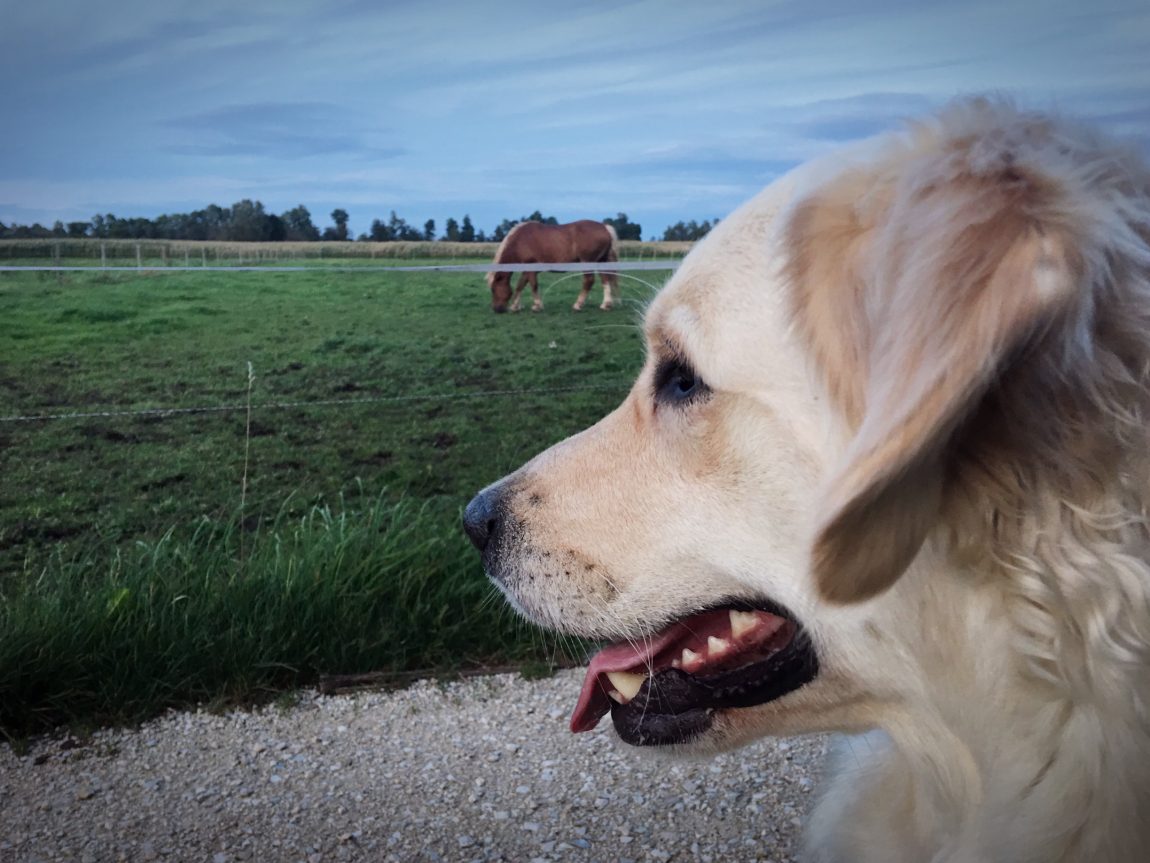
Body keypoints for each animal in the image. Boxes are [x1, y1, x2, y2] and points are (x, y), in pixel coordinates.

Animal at [485, 223, 621, 315]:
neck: (519, 241)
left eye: (493, 289)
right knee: (605, 280)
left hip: (587, 263)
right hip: (601, 262)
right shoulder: (527, 271)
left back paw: (578, 305)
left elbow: (533, 286)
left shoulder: (531, 269)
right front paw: (515, 306)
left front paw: (537, 306)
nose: (496, 309)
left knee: (589, 281)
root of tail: (604, 227)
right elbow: (520, 285)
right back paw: (606, 304)